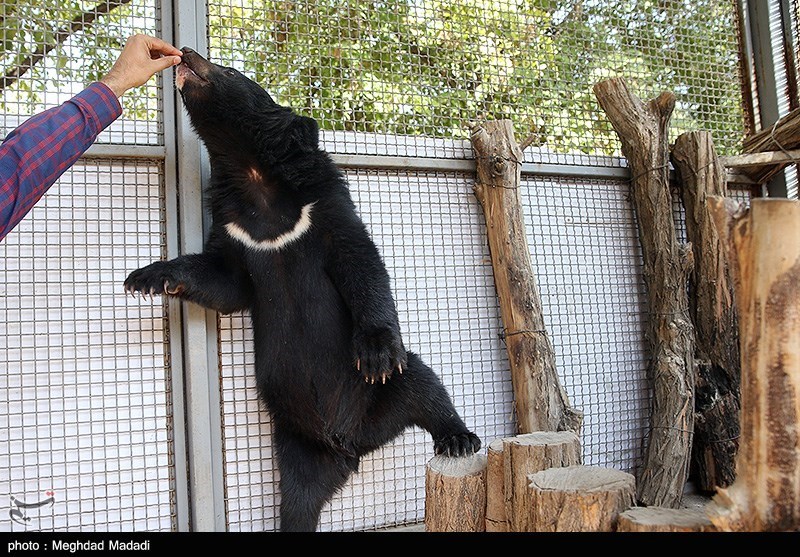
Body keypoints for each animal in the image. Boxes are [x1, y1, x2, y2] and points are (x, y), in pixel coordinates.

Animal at [122, 47, 478, 528]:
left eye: (229, 71)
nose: (187, 55)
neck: (254, 174)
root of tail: (351, 443)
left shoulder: (323, 206)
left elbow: (360, 264)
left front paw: (376, 354)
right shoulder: (235, 228)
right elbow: (225, 280)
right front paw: (145, 278)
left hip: (386, 399)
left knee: (425, 387)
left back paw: (459, 438)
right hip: (293, 444)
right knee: (297, 502)